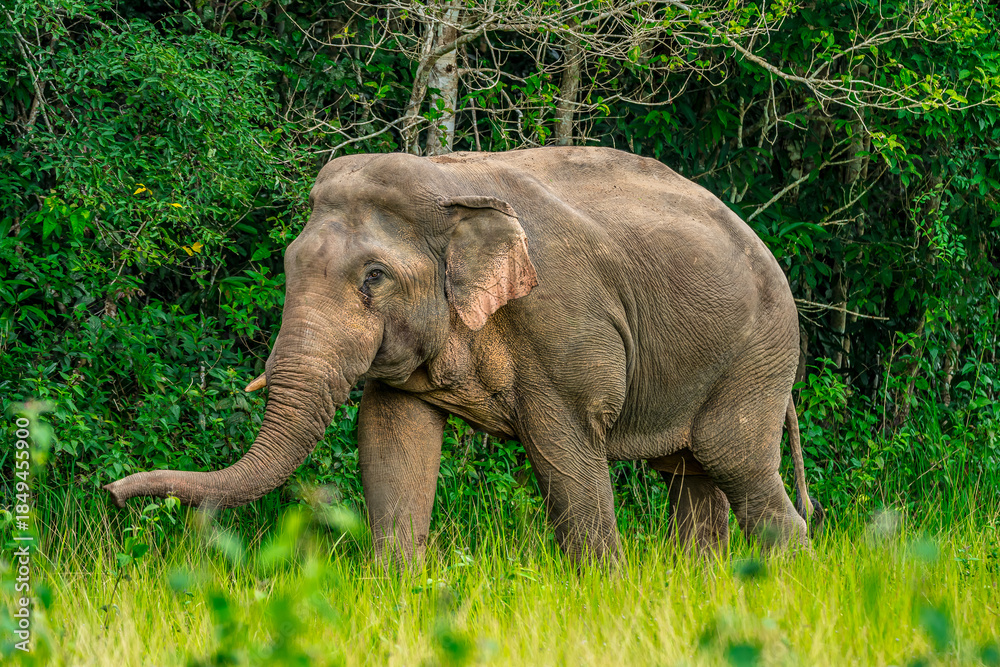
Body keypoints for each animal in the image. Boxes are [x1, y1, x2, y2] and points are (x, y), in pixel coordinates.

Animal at [105, 146, 823, 564]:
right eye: (287, 264)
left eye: (373, 277)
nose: (111, 493)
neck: (449, 180)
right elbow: (391, 438)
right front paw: (394, 592)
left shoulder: (564, 327)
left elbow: (565, 454)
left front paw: (603, 591)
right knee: (692, 481)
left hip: (758, 356)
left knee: (736, 463)